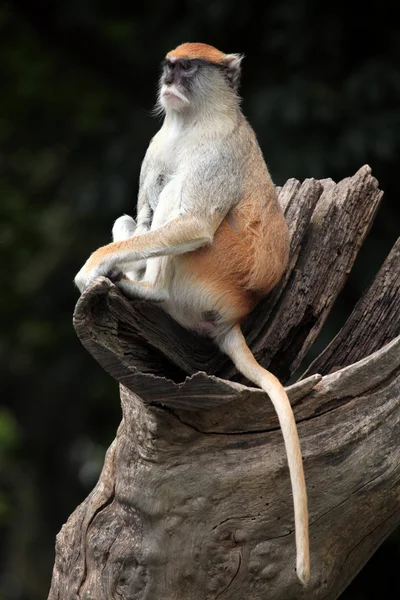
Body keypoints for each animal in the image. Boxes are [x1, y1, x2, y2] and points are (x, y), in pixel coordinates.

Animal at [76, 43, 312, 584]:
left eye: (188, 67)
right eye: (169, 65)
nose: (169, 79)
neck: (193, 120)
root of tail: (234, 314)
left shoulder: (217, 153)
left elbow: (193, 222)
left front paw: (95, 266)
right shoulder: (156, 148)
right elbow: (141, 215)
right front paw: (114, 259)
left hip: (210, 272)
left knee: (183, 216)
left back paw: (147, 290)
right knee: (140, 216)